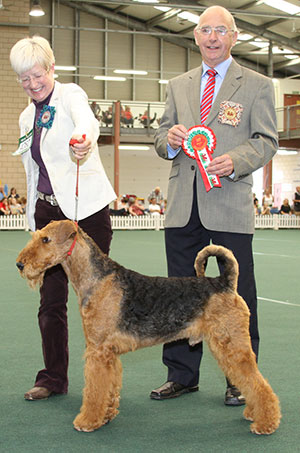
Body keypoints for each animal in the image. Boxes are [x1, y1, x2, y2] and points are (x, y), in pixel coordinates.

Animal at [16, 219, 280, 434]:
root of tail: (225, 282)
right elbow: (109, 388)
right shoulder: (109, 354)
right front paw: (107, 415)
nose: (20, 264)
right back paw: (254, 414)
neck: (96, 279)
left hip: (232, 345)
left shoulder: (98, 351)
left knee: (257, 383)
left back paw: (266, 423)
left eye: (46, 239)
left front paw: (87, 421)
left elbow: (94, 390)